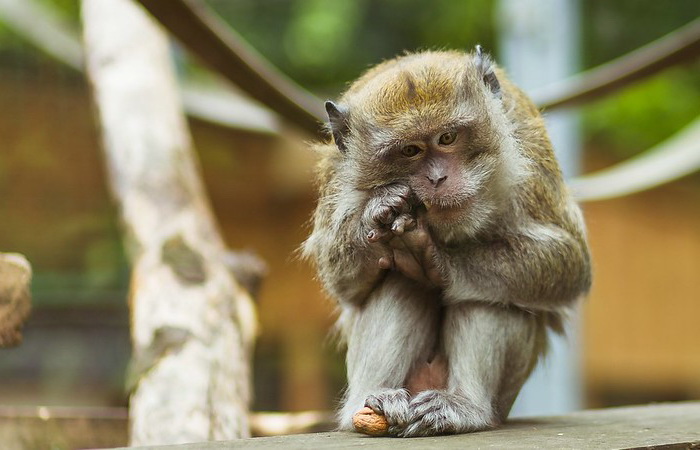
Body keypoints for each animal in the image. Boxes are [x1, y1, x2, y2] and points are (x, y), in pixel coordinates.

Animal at [304, 47, 592, 438]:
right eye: (410, 150)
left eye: (447, 138)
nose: (438, 178)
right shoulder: (338, 172)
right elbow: (341, 281)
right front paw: (378, 211)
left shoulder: (529, 149)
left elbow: (570, 260)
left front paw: (440, 262)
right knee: (399, 281)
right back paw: (373, 404)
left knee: (490, 292)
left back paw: (463, 406)